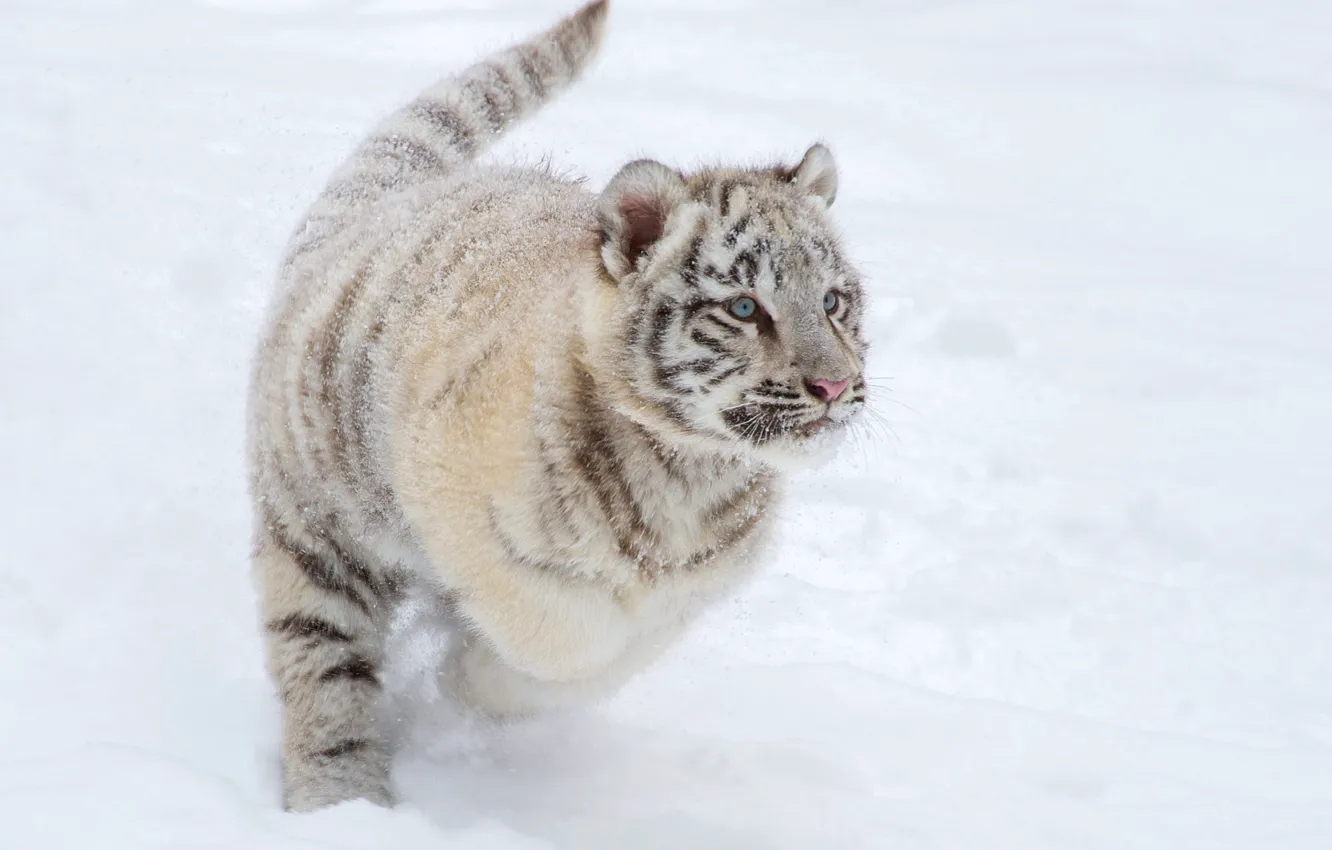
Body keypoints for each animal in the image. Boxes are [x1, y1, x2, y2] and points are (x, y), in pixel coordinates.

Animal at [247, 0, 869, 811]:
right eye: (743, 307)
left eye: (831, 302)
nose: (835, 386)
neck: (689, 472)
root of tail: (385, 205)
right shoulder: (456, 503)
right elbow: (559, 634)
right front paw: (464, 677)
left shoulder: (683, 597)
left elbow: (597, 660)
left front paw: (474, 680)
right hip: (319, 530)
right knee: (325, 670)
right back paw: (342, 801)